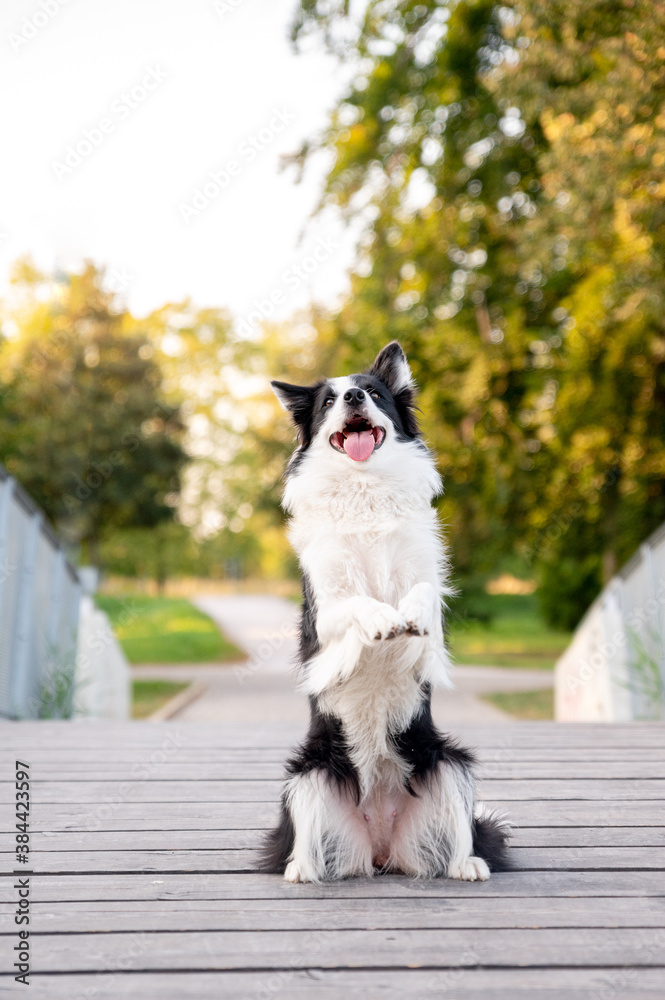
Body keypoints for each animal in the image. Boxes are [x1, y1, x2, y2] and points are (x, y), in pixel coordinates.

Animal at [260, 342, 508, 884]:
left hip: (449, 763)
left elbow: (424, 593)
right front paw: (380, 620)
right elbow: (356, 602)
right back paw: (300, 868)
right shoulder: (325, 611)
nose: (353, 397)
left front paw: (406, 615)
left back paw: (468, 863)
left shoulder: (431, 586)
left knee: (459, 830)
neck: (364, 486)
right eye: (329, 401)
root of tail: (378, 847)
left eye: (372, 393)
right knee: (306, 840)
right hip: (308, 774)